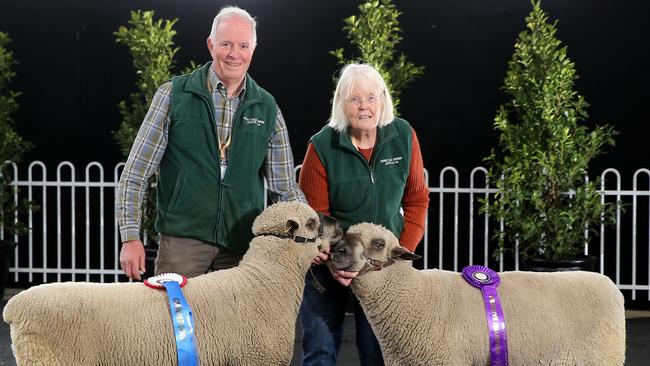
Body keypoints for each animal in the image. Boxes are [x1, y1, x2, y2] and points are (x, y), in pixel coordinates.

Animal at [330, 223, 624, 366]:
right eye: (347, 233)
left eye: (379, 244)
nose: (337, 251)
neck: (413, 295)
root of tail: (610, 285)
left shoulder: (445, 361)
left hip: (603, 358)